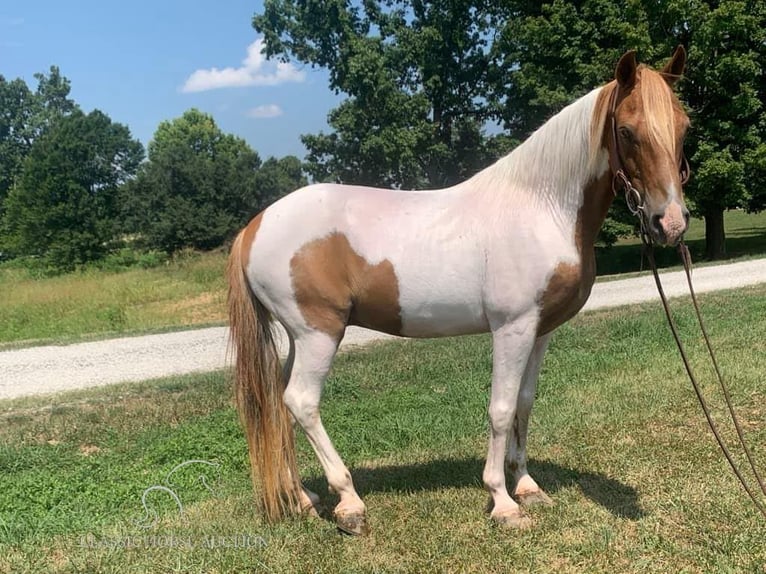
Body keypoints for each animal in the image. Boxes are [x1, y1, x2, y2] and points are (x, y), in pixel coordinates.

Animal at [225, 46, 692, 536]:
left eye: (684, 127)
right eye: (627, 131)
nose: (670, 222)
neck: (542, 206)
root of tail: (254, 226)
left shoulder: (540, 331)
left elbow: (524, 403)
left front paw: (527, 486)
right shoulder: (512, 328)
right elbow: (501, 409)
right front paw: (503, 502)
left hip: (300, 338)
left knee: (279, 406)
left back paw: (302, 498)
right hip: (319, 334)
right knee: (301, 401)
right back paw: (349, 504)